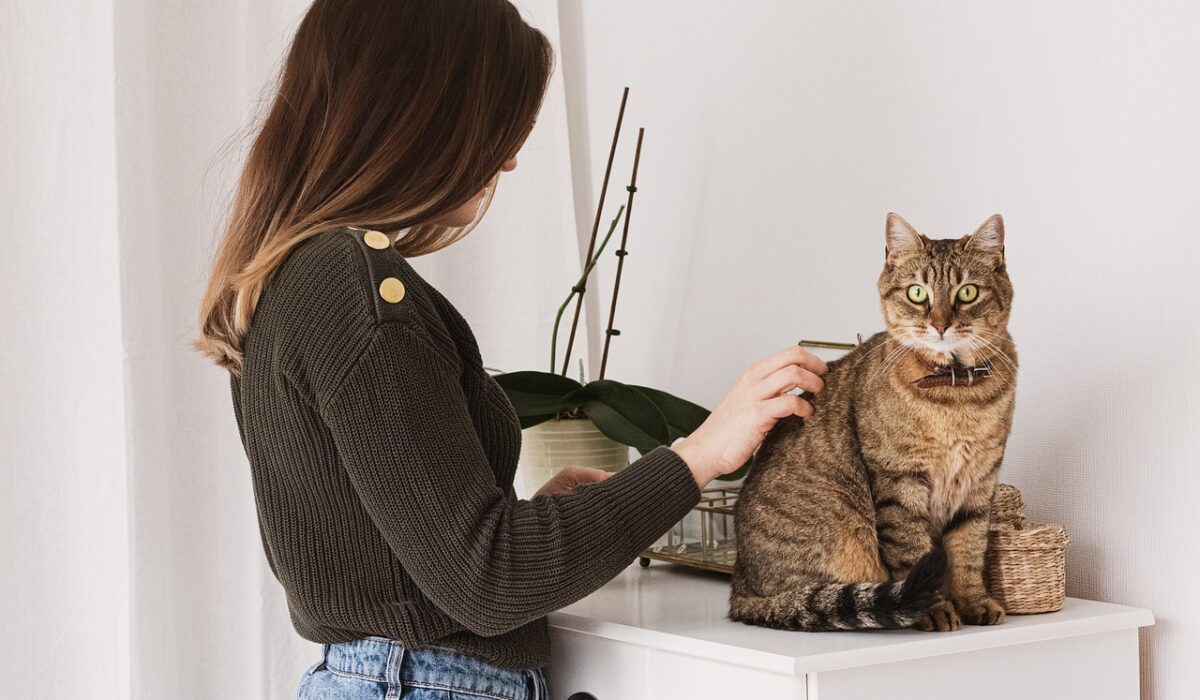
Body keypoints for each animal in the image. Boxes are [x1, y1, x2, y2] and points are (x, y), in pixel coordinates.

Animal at [724, 211, 1017, 633]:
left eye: (967, 293)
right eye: (917, 293)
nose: (940, 325)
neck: (956, 396)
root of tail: (738, 586)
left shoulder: (979, 484)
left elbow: (968, 551)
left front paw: (973, 602)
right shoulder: (899, 482)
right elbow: (912, 553)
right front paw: (934, 609)